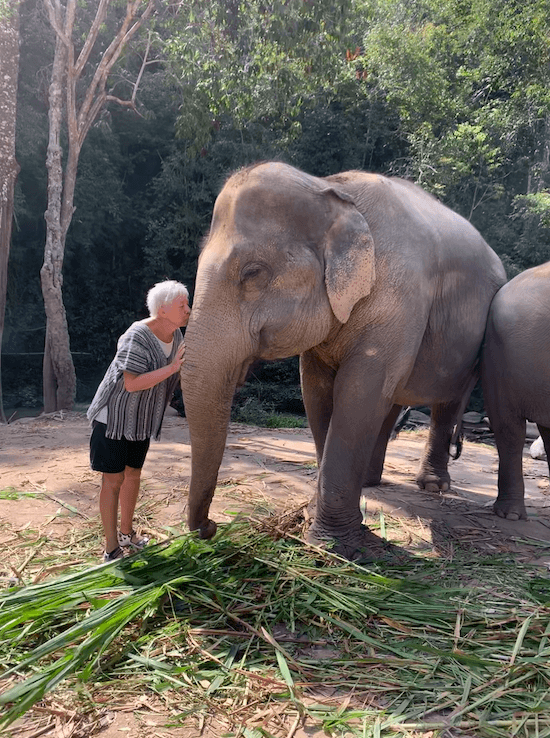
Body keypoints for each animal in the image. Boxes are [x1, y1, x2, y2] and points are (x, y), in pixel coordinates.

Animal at [182, 161, 508, 556]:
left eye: (253, 272)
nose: (210, 528)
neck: (331, 190)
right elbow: (317, 392)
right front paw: (314, 517)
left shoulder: (398, 299)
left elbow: (359, 392)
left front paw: (336, 547)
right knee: (392, 400)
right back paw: (369, 481)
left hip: (477, 343)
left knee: (446, 402)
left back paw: (432, 487)